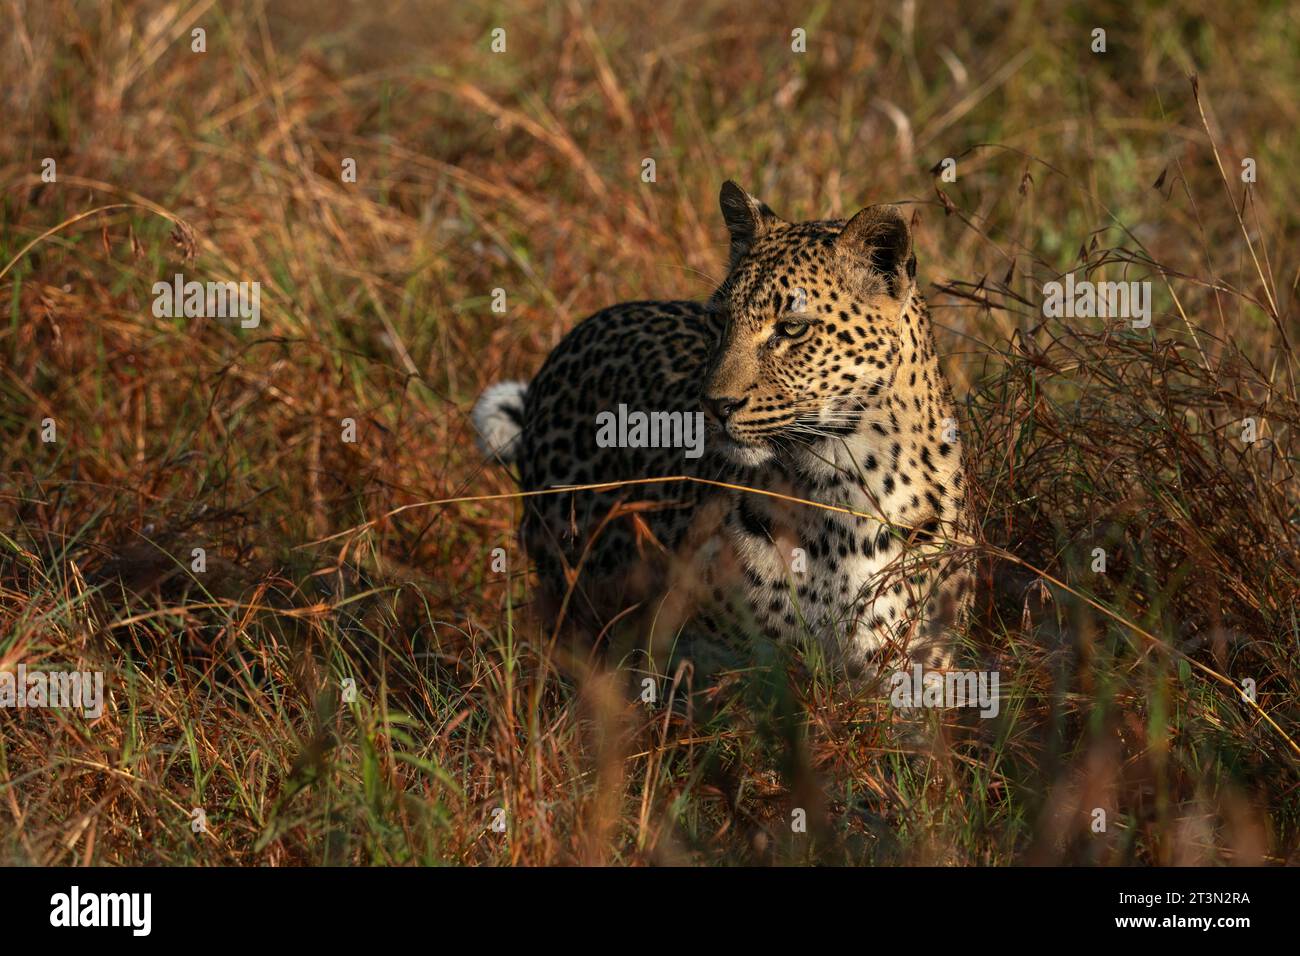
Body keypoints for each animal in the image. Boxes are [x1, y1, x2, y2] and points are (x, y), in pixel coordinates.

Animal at [475, 180, 977, 681]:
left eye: (792, 328)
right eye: (719, 320)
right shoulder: (720, 663)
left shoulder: (921, 667)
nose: (715, 405)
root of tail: (584, 329)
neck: (840, 490)